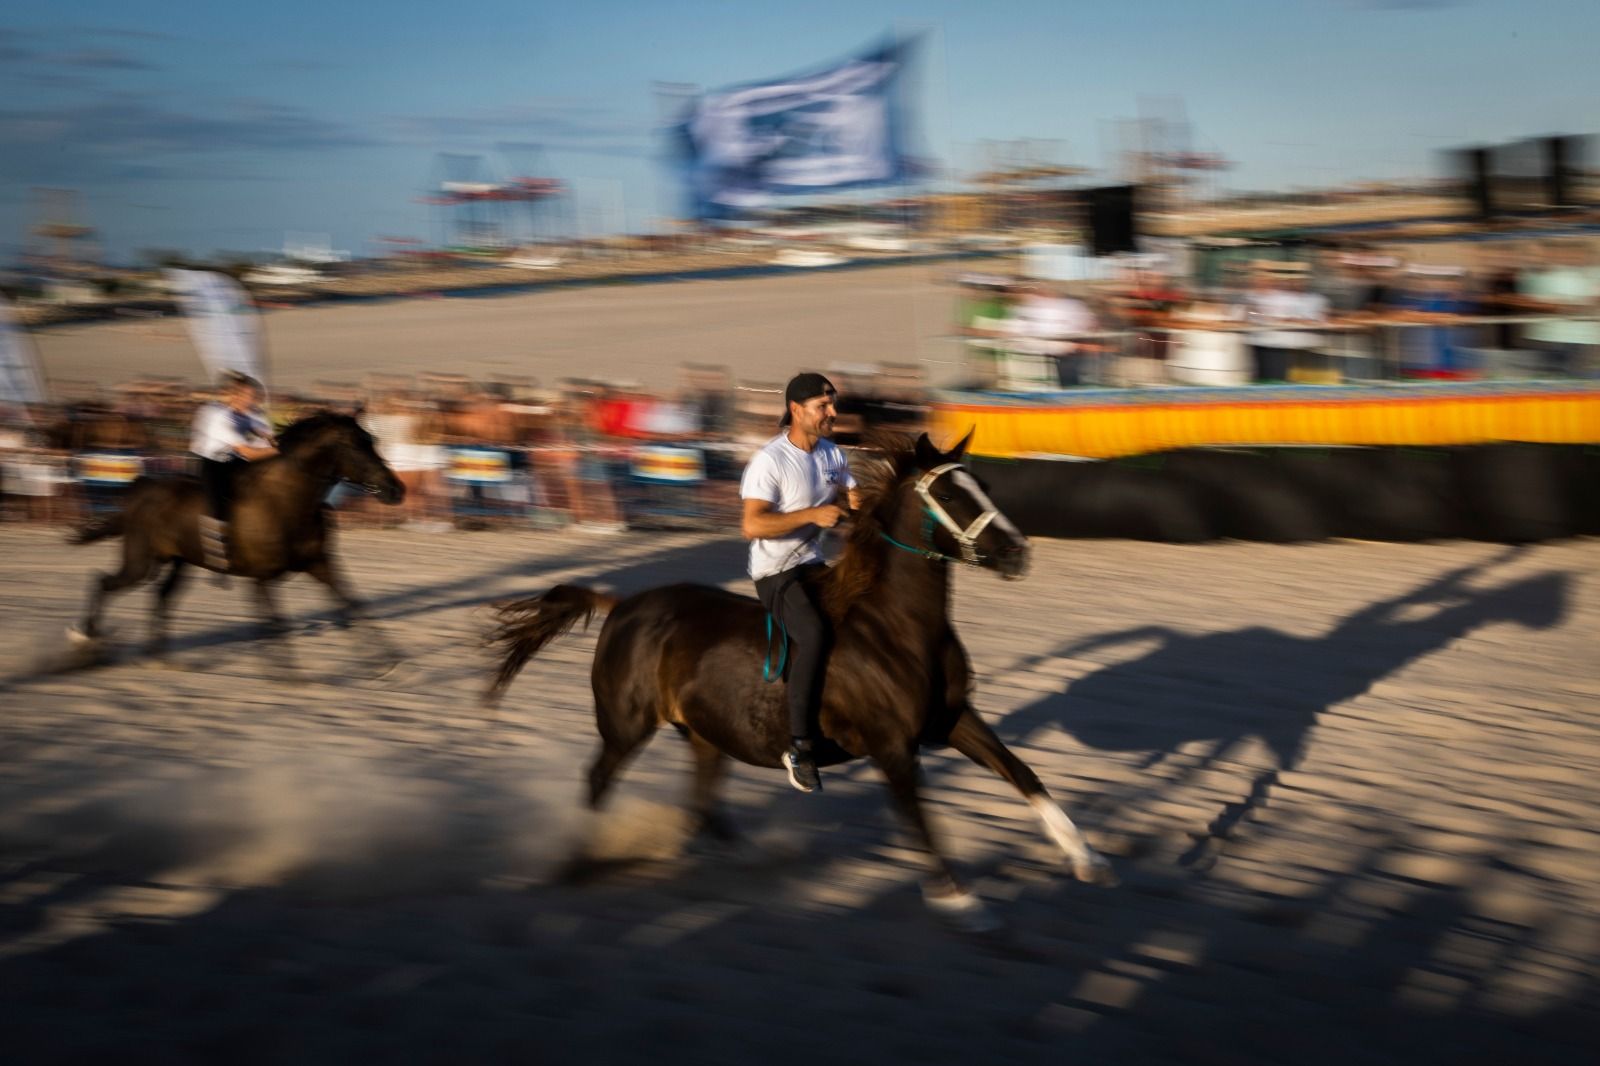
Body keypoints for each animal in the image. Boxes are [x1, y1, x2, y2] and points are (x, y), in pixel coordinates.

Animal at [67, 409, 406, 659]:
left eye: (371, 440)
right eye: (355, 446)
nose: (396, 489)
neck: (286, 501)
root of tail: (139, 489)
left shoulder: (318, 564)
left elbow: (352, 601)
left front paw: (388, 660)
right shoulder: (263, 576)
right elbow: (277, 620)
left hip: (180, 562)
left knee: (161, 595)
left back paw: (159, 655)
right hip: (139, 561)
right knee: (105, 582)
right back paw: (84, 636)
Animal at [486, 428, 1113, 928]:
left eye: (983, 483)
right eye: (952, 494)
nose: (1018, 553)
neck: (898, 629)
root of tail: (622, 605)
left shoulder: (953, 720)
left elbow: (1022, 773)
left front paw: (1086, 858)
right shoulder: (892, 746)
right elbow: (920, 819)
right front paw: (963, 902)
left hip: (707, 735)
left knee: (702, 803)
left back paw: (749, 858)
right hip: (625, 726)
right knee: (598, 782)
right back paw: (578, 856)